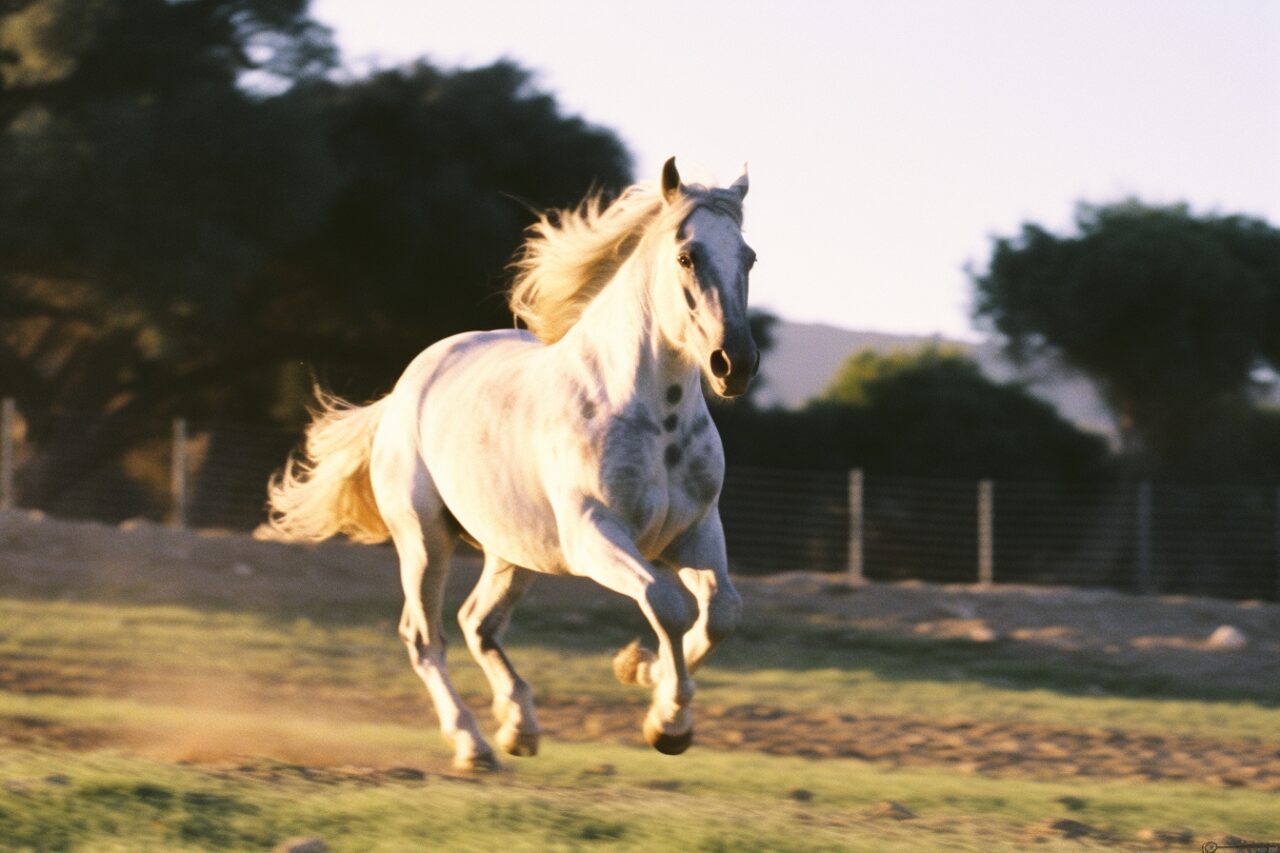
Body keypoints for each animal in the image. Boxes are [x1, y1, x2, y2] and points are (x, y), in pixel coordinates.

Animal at [261, 158, 758, 770]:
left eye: (749, 257)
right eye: (687, 256)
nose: (735, 364)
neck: (650, 415)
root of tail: (405, 389)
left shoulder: (693, 532)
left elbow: (721, 611)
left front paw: (641, 672)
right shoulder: (594, 535)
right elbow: (666, 604)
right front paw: (666, 721)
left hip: (513, 551)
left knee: (478, 623)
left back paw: (518, 728)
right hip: (425, 540)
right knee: (425, 637)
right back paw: (472, 743)